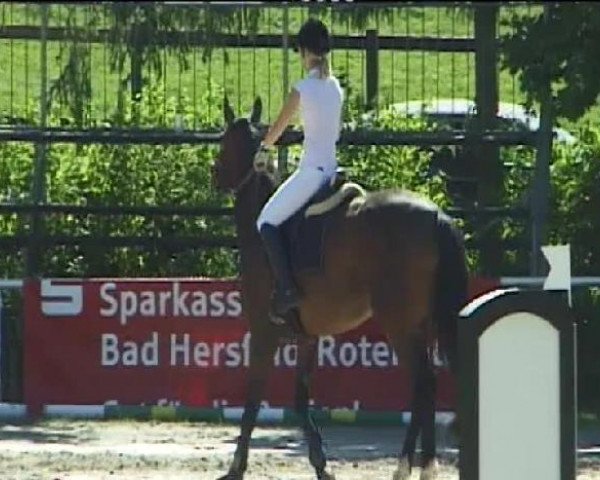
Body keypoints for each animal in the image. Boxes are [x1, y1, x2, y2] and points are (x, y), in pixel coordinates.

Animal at [211, 95, 468, 478]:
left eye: (224, 142)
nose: (215, 175)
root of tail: (436, 215)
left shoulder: (263, 332)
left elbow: (253, 398)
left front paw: (236, 467)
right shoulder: (307, 337)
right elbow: (300, 401)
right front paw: (322, 466)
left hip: (400, 324)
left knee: (422, 383)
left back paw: (405, 466)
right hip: (424, 323)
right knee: (430, 385)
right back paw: (424, 467)